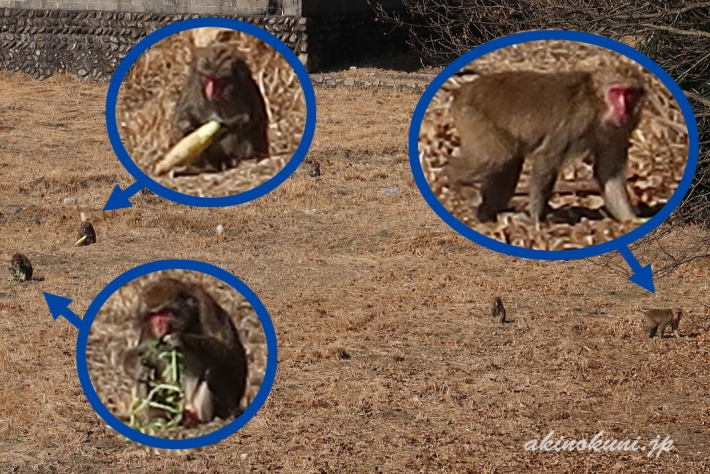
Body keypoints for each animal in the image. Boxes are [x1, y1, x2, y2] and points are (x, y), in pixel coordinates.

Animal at [120, 278, 248, 426]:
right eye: (153, 315)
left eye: (165, 313)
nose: (159, 327)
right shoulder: (148, 329)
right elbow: (142, 354)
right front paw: (137, 365)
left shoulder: (208, 307)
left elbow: (231, 354)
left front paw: (181, 339)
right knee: (146, 375)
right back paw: (160, 419)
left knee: (214, 369)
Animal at [173, 43, 272, 174]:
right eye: (207, 77)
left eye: (219, 80)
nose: (210, 92)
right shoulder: (192, 86)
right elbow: (182, 117)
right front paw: (187, 124)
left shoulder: (244, 89)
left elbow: (246, 119)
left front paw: (218, 129)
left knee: (238, 131)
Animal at [448, 69, 648, 226]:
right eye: (616, 93)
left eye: (630, 95)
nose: (623, 110)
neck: (597, 106)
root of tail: (463, 90)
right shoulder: (578, 118)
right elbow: (547, 156)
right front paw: (537, 219)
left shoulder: (619, 132)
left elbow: (608, 172)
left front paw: (629, 219)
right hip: (472, 116)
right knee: (498, 157)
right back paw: (450, 179)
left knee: (510, 161)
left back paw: (489, 214)